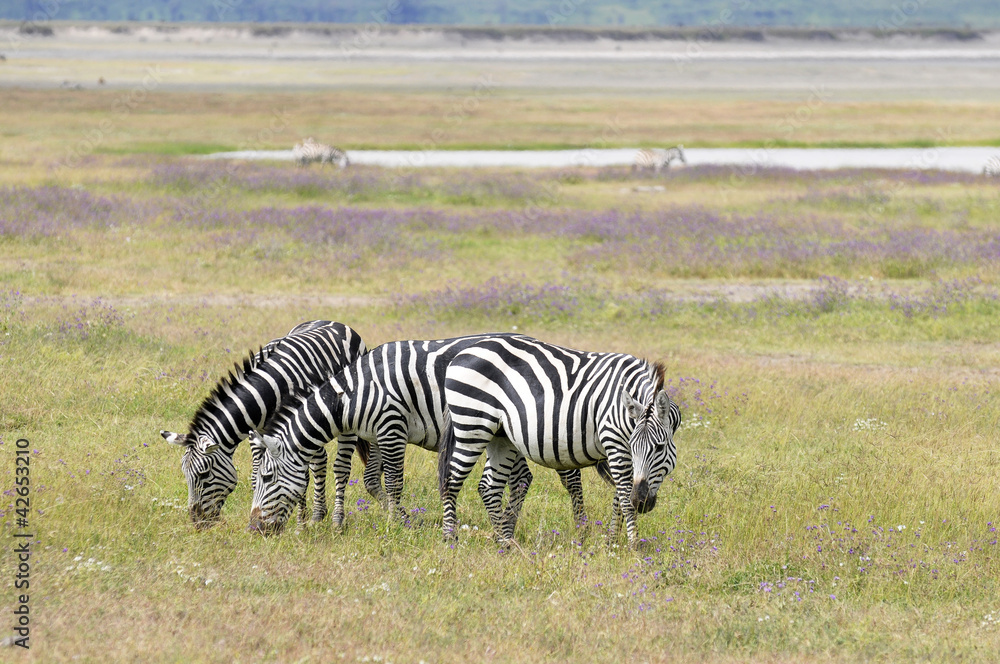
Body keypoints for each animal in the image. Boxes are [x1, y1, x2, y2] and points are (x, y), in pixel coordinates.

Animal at [159, 320, 368, 529]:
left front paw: (300, 524)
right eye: (185, 474)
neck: (270, 388)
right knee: (319, 461)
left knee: (341, 467)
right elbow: (257, 474)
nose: (199, 523)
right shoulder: (260, 433)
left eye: (203, 474)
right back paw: (318, 514)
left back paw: (337, 520)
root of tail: (333, 322)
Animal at [247, 334, 603, 536]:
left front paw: (397, 524)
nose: (254, 529)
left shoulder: (392, 426)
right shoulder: (374, 433)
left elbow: (393, 482)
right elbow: (372, 480)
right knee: (522, 478)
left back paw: (581, 528)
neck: (354, 392)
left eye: (265, 478)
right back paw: (508, 526)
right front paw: (401, 519)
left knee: (568, 475)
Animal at [438, 335, 680, 547]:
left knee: (489, 487)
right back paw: (451, 539)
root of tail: (462, 353)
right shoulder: (615, 443)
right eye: (636, 446)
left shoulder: (623, 452)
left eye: (659, 448)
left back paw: (504, 543)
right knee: (451, 481)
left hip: (500, 436)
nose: (641, 503)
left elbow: (620, 497)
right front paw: (634, 545)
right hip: (472, 427)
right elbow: (623, 494)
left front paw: (612, 541)